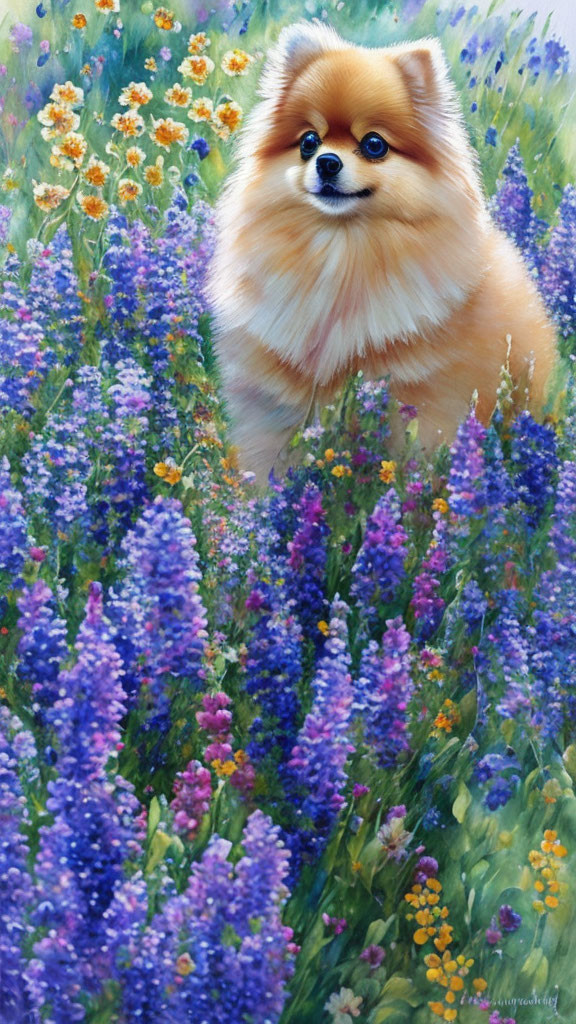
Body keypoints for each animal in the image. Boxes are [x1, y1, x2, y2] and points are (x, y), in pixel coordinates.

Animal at [208, 19, 553, 475]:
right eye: (308, 142)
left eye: (374, 144)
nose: (327, 162)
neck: (342, 253)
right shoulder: (277, 404)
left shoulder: (426, 399)